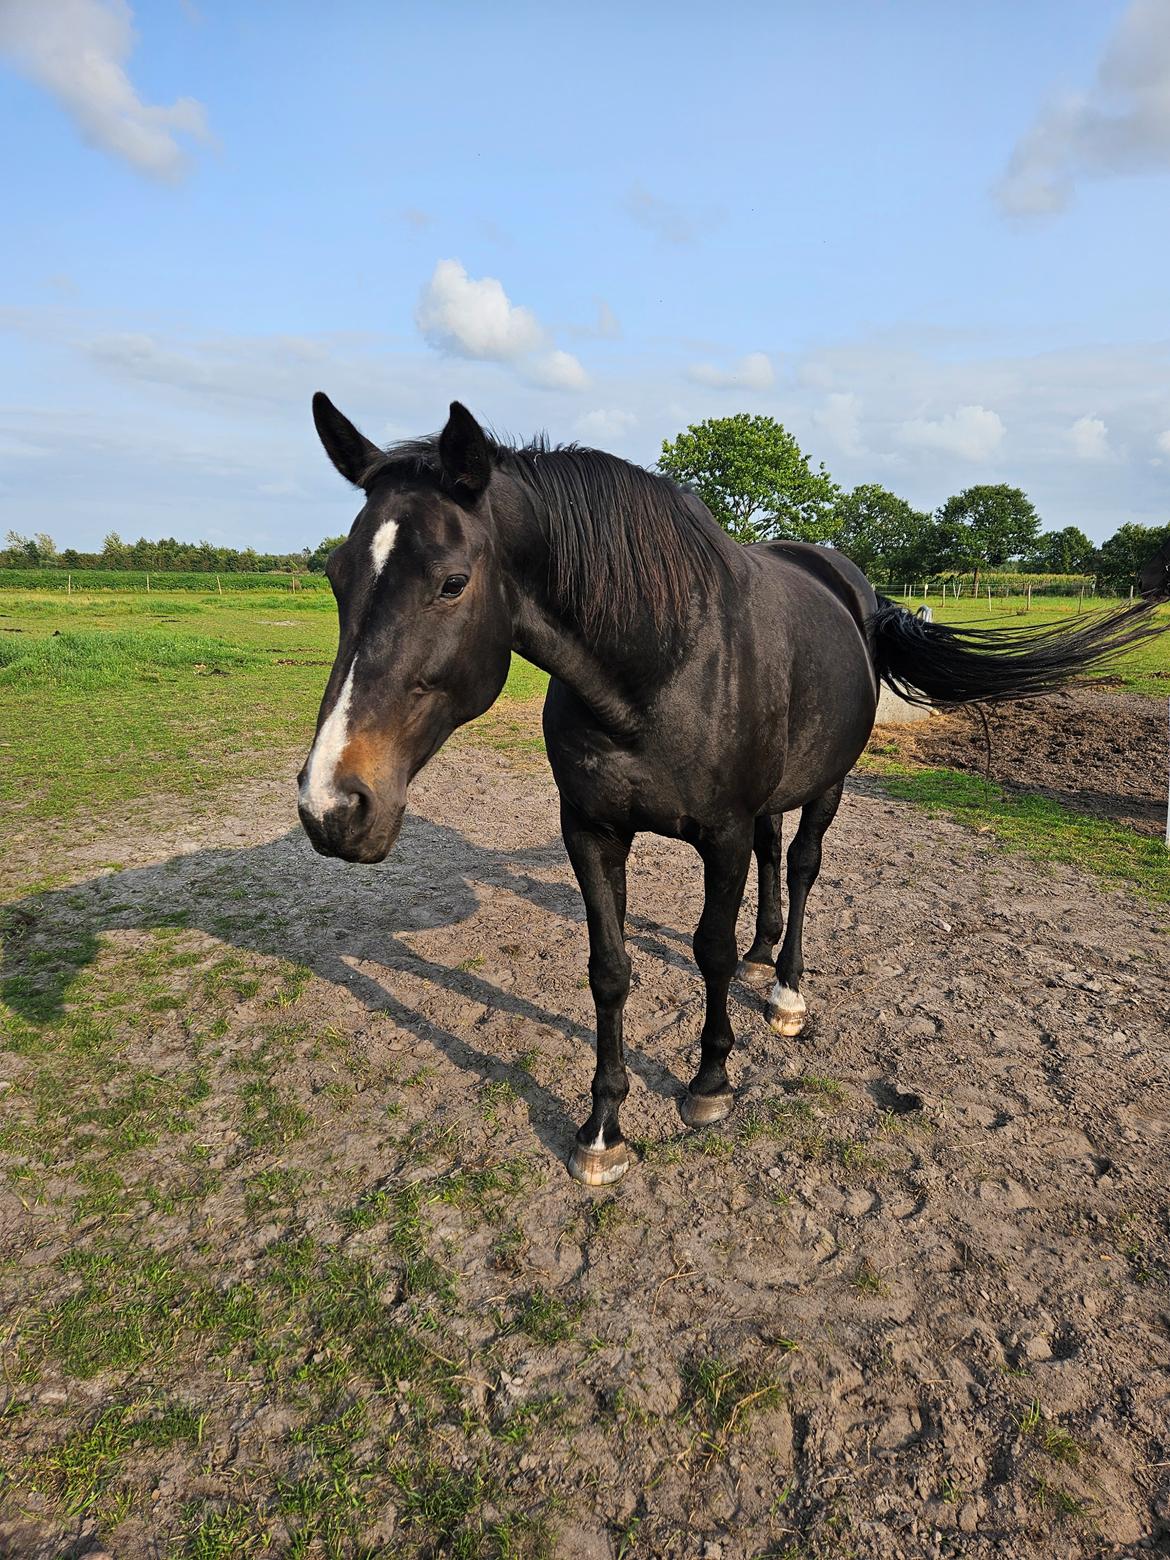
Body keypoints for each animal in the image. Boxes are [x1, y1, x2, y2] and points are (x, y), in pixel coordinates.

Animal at [294, 396, 1170, 1185]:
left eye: (451, 582)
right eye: (335, 577)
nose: (332, 805)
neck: (659, 666)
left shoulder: (718, 833)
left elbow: (706, 948)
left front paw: (709, 1083)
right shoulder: (592, 831)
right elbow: (609, 969)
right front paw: (603, 1128)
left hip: (828, 783)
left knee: (805, 865)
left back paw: (784, 988)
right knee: (775, 855)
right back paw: (761, 956)